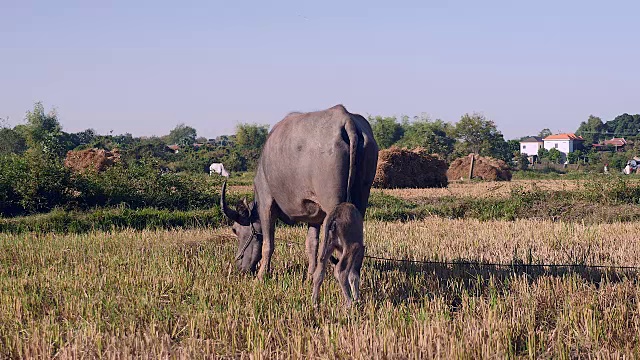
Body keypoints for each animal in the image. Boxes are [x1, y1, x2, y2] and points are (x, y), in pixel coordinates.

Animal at [221, 104, 378, 282]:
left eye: (235, 229)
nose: (240, 267)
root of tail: (347, 119)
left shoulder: (266, 203)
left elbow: (269, 243)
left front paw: (262, 276)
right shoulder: (315, 217)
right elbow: (311, 244)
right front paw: (309, 274)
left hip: (333, 203)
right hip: (362, 196)